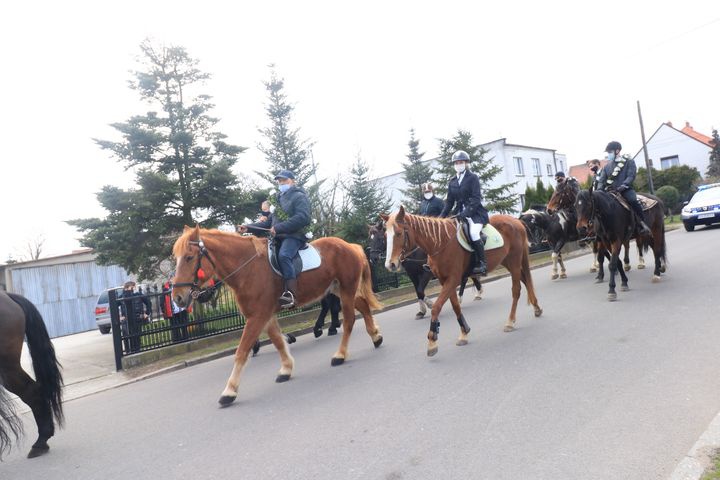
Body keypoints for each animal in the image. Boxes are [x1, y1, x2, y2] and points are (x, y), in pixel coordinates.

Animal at [171, 226, 382, 404]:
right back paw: (376, 337)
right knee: (363, 307)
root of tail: (350, 246)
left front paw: (229, 391)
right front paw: (286, 369)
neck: (247, 268)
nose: (177, 297)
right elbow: (278, 342)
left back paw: (340, 355)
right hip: (340, 290)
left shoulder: (257, 317)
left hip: (346, 291)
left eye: (189, 257)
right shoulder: (266, 316)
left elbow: (242, 351)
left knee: (349, 320)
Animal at [382, 206, 540, 356]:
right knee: (525, 280)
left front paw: (432, 341)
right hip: (507, 261)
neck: (440, 242)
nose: (390, 265)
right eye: (385, 235)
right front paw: (464, 333)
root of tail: (516, 221)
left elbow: (437, 307)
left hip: (514, 261)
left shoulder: (452, 279)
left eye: (398, 233)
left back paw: (510, 322)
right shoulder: (444, 280)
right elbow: (455, 306)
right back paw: (537, 308)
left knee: (516, 290)